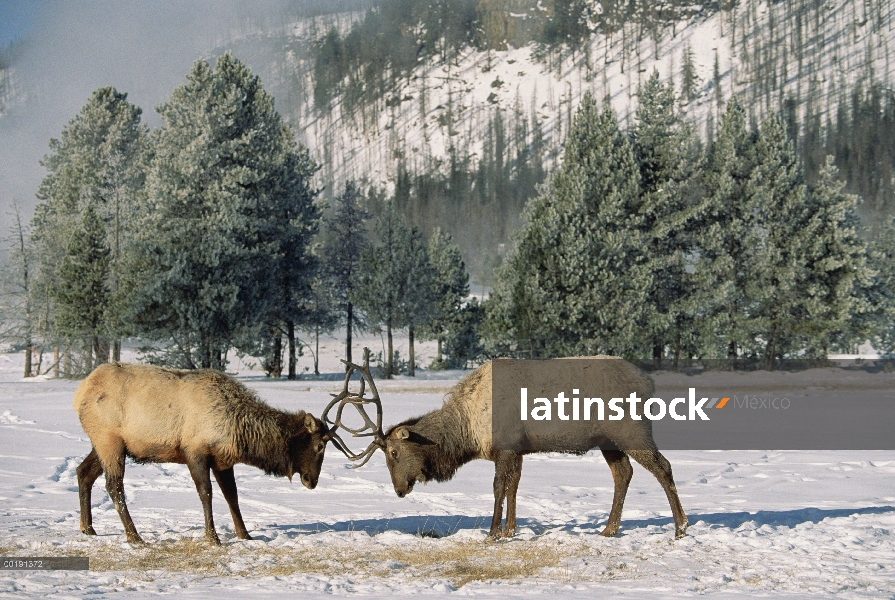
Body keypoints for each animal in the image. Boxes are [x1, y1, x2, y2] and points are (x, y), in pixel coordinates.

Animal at [73, 360, 330, 544]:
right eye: (320, 445)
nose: (313, 480)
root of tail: (79, 394)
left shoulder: (222, 461)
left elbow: (232, 496)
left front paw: (245, 535)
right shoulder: (194, 452)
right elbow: (206, 493)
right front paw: (213, 537)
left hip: (105, 443)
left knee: (83, 472)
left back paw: (88, 528)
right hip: (110, 440)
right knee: (114, 485)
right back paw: (134, 536)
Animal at [326, 346, 688, 540]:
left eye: (394, 451)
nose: (400, 490)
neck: (468, 431)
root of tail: (649, 381)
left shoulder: (505, 444)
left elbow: (499, 486)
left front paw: (492, 532)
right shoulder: (518, 447)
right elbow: (515, 486)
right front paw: (511, 530)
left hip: (630, 428)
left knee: (663, 467)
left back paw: (680, 527)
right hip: (606, 439)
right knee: (623, 473)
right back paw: (609, 529)